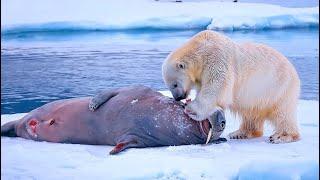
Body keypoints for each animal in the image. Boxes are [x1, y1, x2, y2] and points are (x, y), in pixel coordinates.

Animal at [162, 29, 300, 143]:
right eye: (169, 85)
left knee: (282, 113)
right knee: (251, 113)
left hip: (279, 87)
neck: (202, 49)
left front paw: (191, 109)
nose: (178, 97)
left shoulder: (217, 59)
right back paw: (240, 133)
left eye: (174, 84)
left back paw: (282, 136)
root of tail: (294, 72)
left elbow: (216, 88)